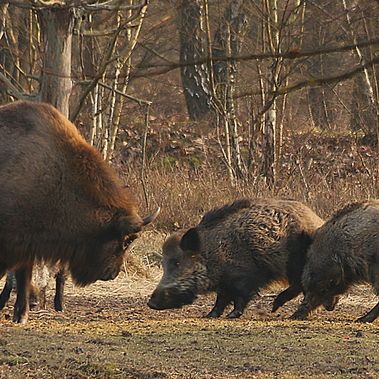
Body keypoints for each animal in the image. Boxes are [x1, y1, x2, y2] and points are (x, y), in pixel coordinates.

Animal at [148, 200, 324, 320]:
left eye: (177, 262)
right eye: (163, 264)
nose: (151, 303)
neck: (212, 253)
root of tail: (317, 221)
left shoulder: (243, 277)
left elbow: (240, 296)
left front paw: (232, 315)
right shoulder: (224, 282)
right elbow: (221, 299)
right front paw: (210, 315)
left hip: (298, 264)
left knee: (304, 287)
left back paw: (286, 311)